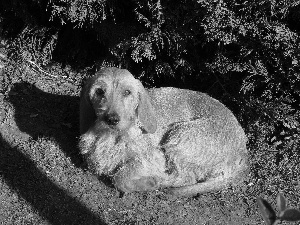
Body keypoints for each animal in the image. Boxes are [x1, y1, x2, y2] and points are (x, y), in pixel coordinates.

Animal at [78, 66, 248, 196]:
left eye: (127, 92)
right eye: (99, 91)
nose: (112, 119)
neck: (115, 136)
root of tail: (242, 151)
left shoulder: (153, 158)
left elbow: (120, 177)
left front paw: (150, 181)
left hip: (180, 136)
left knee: (187, 178)